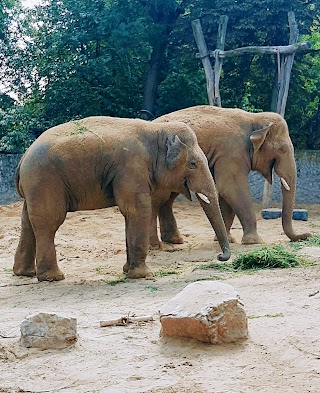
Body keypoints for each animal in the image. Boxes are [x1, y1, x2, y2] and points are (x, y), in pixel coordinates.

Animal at [13, 115, 231, 280]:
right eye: (193, 164)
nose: (220, 256)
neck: (156, 130)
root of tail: (22, 158)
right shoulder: (131, 169)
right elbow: (138, 210)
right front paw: (144, 275)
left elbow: (131, 214)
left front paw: (128, 271)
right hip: (45, 181)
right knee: (49, 223)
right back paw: (53, 277)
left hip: (36, 187)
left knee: (28, 223)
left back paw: (25, 273)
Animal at [152, 105, 310, 243]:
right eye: (282, 149)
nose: (307, 235)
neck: (254, 117)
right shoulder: (232, 153)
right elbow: (231, 188)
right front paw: (255, 241)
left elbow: (225, 193)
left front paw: (227, 240)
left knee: (167, 199)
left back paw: (175, 241)